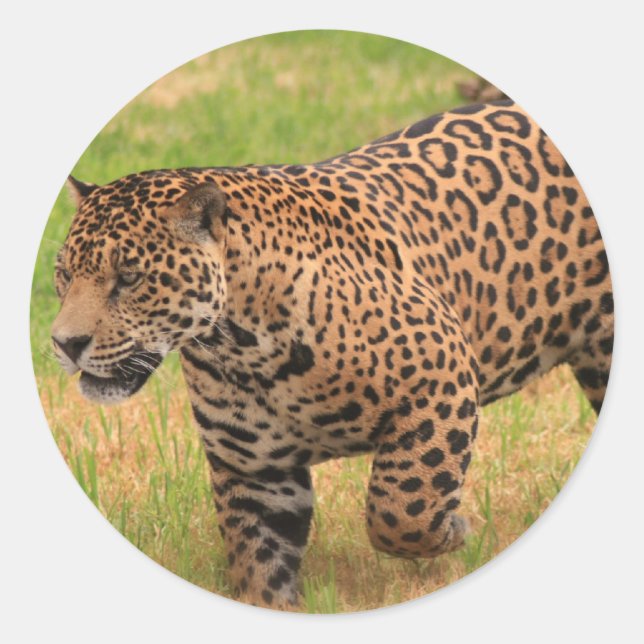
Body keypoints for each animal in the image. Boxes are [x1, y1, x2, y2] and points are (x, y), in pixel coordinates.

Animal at [51, 99, 613, 610]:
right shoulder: (256, 474)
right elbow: (260, 569)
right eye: (64, 274)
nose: (64, 343)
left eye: (129, 278)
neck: (242, 347)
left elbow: (400, 508)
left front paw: (454, 529)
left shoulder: (442, 380)